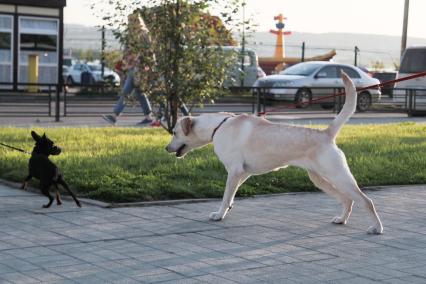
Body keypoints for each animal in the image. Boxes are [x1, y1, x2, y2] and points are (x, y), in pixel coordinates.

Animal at [166, 72, 382, 234]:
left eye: (175, 133)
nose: (166, 148)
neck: (218, 126)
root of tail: (326, 133)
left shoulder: (234, 171)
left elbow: (226, 195)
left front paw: (219, 214)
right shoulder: (243, 173)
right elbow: (231, 194)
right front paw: (228, 208)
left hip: (338, 176)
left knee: (366, 201)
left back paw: (377, 228)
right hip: (320, 179)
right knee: (347, 199)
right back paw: (341, 219)